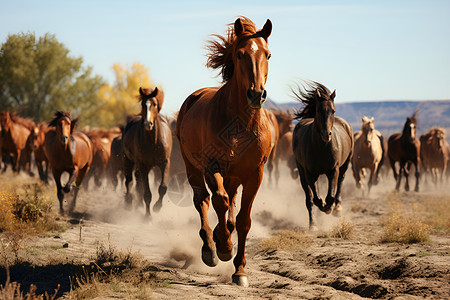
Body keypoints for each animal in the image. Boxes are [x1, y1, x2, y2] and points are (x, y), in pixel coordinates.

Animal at [121, 86, 172, 218]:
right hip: (128, 160)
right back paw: (128, 202)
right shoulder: (143, 165)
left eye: (154, 104)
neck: (153, 142)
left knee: (138, 183)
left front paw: (157, 207)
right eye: (143, 104)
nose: (148, 124)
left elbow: (163, 187)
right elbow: (147, 193)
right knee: (129, 181)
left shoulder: (165, 163)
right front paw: (148, 217)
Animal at [177, 17, 272, 286]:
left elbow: (243, 221)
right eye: (240, 54)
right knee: (203, 200)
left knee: (229, 207)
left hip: (234, 177)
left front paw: (240, 271)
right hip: (193, 168)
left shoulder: (255, 174)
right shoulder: (213, 167)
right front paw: (224, 248)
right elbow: (219, 200)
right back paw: (210, 248)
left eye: (268, 55)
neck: (241, 124)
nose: (256, 94)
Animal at [292, 79, 356, 230]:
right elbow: (315, 199)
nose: (326, 134)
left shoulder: (334, 169)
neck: (321, 147)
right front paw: (322, 210)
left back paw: (337, 208)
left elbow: (331, 195)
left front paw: (329, 208)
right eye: (318, 110)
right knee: (309, 198)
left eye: (333, 110)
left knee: (340, 182)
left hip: (345, 165)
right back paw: (314, 224)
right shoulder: (309, 173)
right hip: (304, 174)